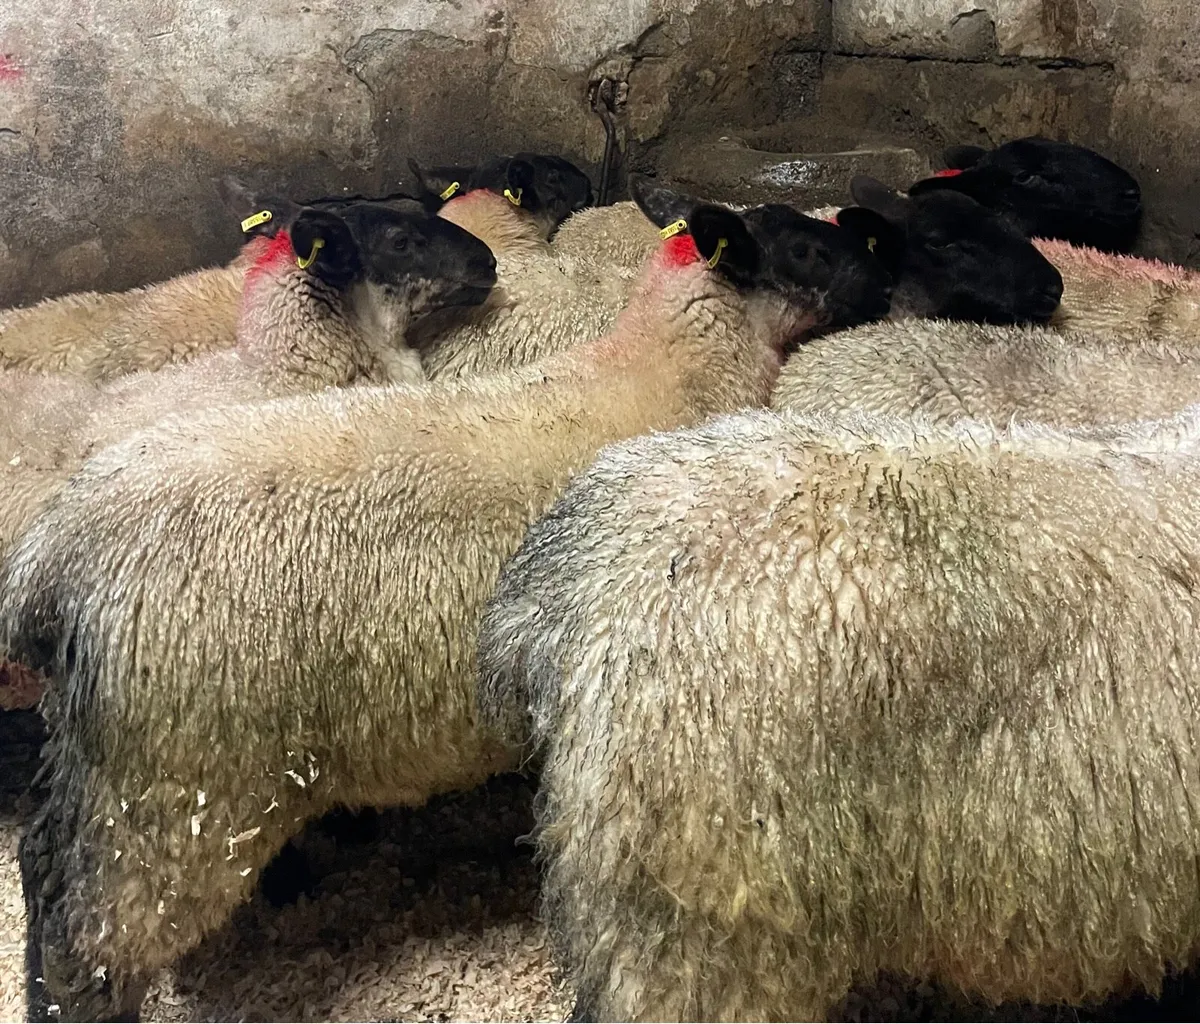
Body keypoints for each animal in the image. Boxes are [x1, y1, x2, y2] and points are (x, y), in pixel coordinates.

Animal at [0, 187, 896, 1022]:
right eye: (805, 250)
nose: (883, 275)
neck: (665, 370)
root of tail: (52, 561)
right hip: (177, 788)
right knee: (90, 931)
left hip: (114, 759)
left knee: (42, 861)